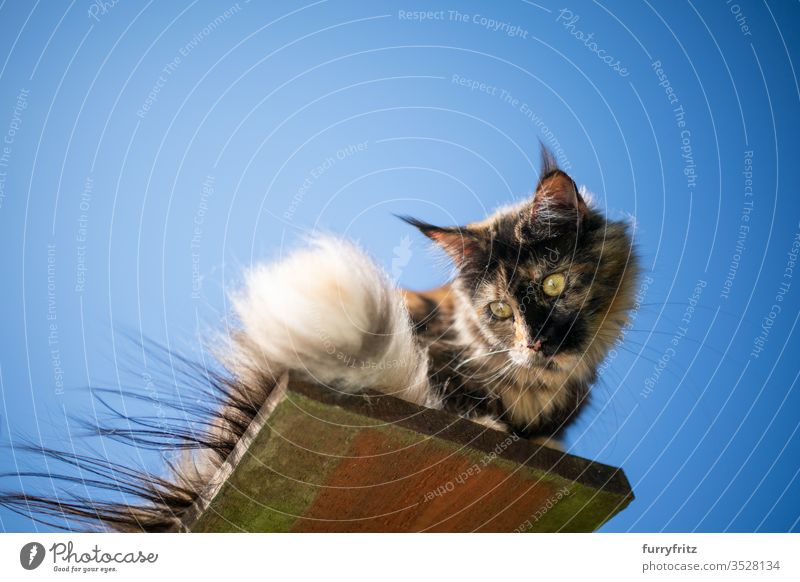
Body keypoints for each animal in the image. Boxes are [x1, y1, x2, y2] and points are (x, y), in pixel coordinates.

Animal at [0, 145, 636, 532]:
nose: (536, 344)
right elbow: (460, 398)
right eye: (499, 309)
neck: (538, 385)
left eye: (553, 284)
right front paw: (493, 422)